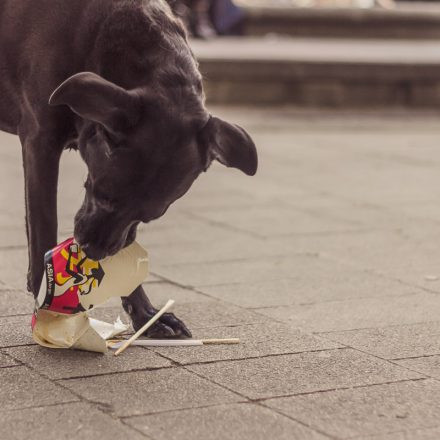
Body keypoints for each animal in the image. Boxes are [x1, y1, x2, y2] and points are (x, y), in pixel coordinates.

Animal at [0, 0, 256, 336]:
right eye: (103, 195)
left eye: (150, 215)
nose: (94, 251)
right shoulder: (40, 142)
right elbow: (44, 226)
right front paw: (47, 302)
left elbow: (128, 245)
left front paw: (145, 313)